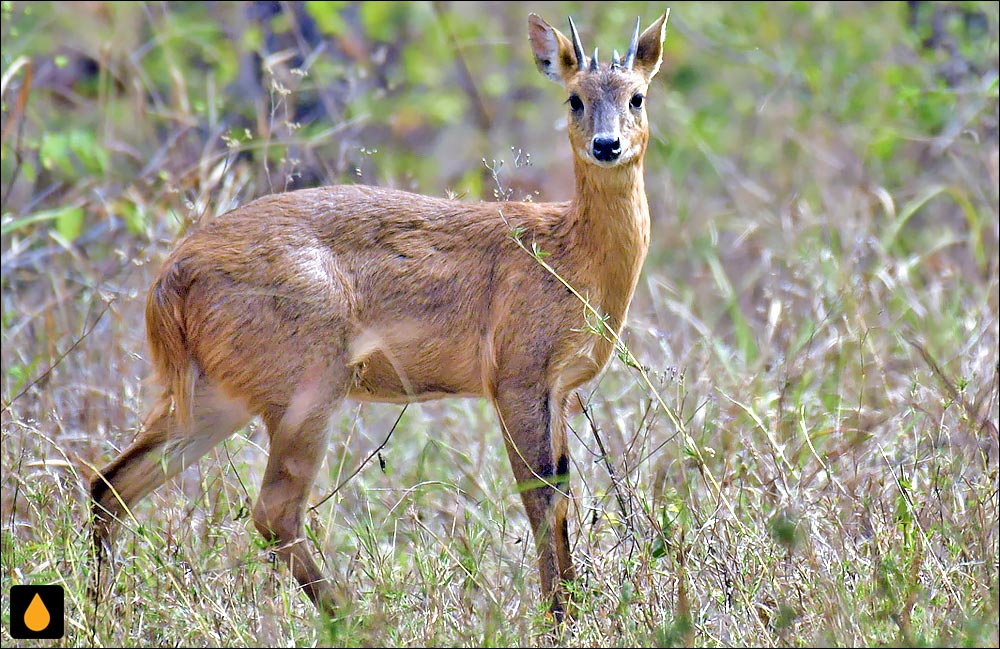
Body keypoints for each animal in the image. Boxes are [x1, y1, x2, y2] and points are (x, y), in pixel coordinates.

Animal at [92, 8, 672, 616]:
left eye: (636, 96)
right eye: (574, 98)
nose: (606, 145)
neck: (568, 254)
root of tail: (170, 280)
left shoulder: (558, 389)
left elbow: (560, 496)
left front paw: (574, 610)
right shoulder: (516, 377)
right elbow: (541, 497)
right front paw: (558, 618)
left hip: (215, 397)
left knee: (111, 483)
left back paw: (102, 611)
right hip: (306, 388)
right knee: (273, 511)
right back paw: (350, 616)